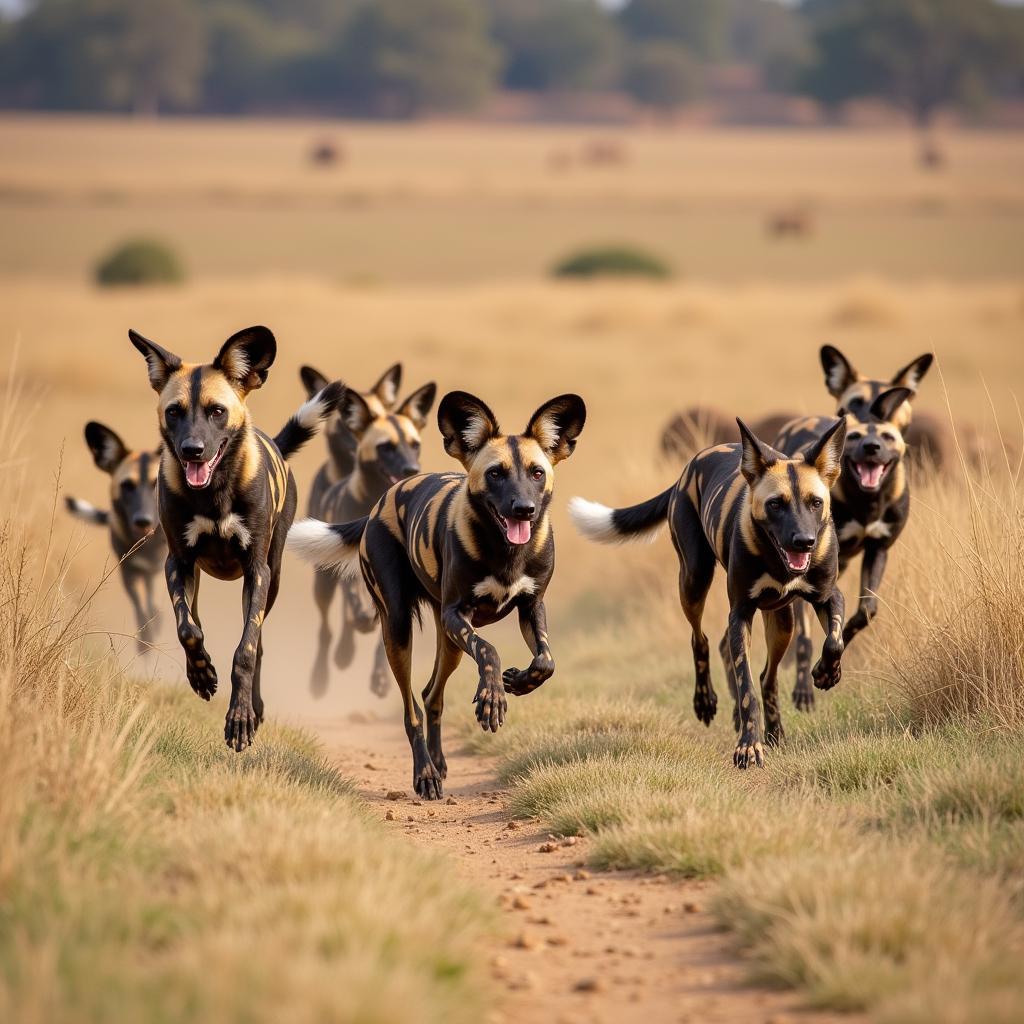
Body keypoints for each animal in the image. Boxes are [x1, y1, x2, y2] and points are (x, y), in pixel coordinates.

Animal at [64, 421, 165, 647]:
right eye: (127, 486)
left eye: (157, 484)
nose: (143, 520)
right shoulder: (128, 572)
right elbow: (141, 610)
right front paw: (146, 641)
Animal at [299, 360, 436, 696]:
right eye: (386, 447)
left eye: (414, 446)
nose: (411, 470)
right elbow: (352, 606)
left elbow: (385, 639)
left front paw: (381, 677)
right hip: (323, 582)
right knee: (328, 627)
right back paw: (325, 671)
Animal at [774, 385, 913, 712]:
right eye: (855, 437)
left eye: (887, 437)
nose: (872, 448)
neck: (866, 504)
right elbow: (806, 638)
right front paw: (809, 682)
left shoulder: (878, 550)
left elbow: (863, 613)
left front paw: (830, 662)